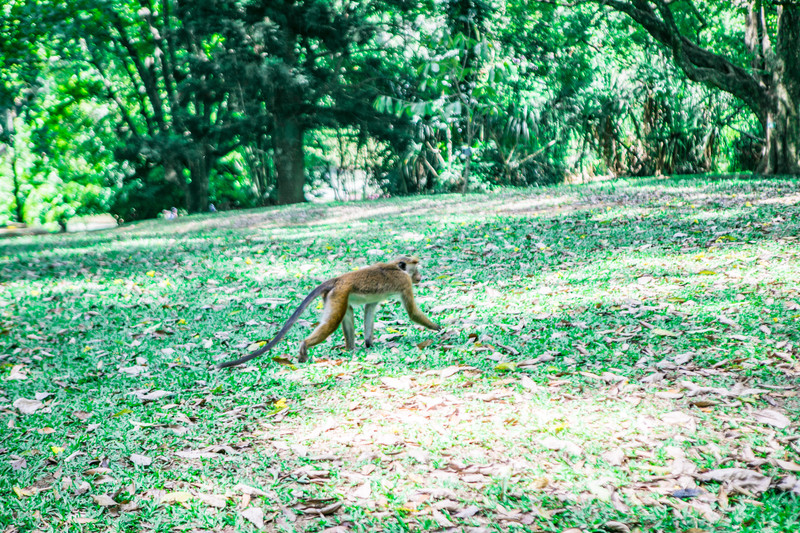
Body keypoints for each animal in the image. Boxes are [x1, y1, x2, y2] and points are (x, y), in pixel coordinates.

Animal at [216, 256, 440, 368]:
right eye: (415, 269)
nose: (420, 276)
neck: (397, 268)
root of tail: (338, 279)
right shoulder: (405, 283)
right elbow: (412, 313)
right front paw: (439, 328)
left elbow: (369, 309)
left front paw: (369, 344)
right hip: (339, 294)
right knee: (333, 321)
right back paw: (305, 345)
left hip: (336, 296)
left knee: (346, 313)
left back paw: (351, 349)